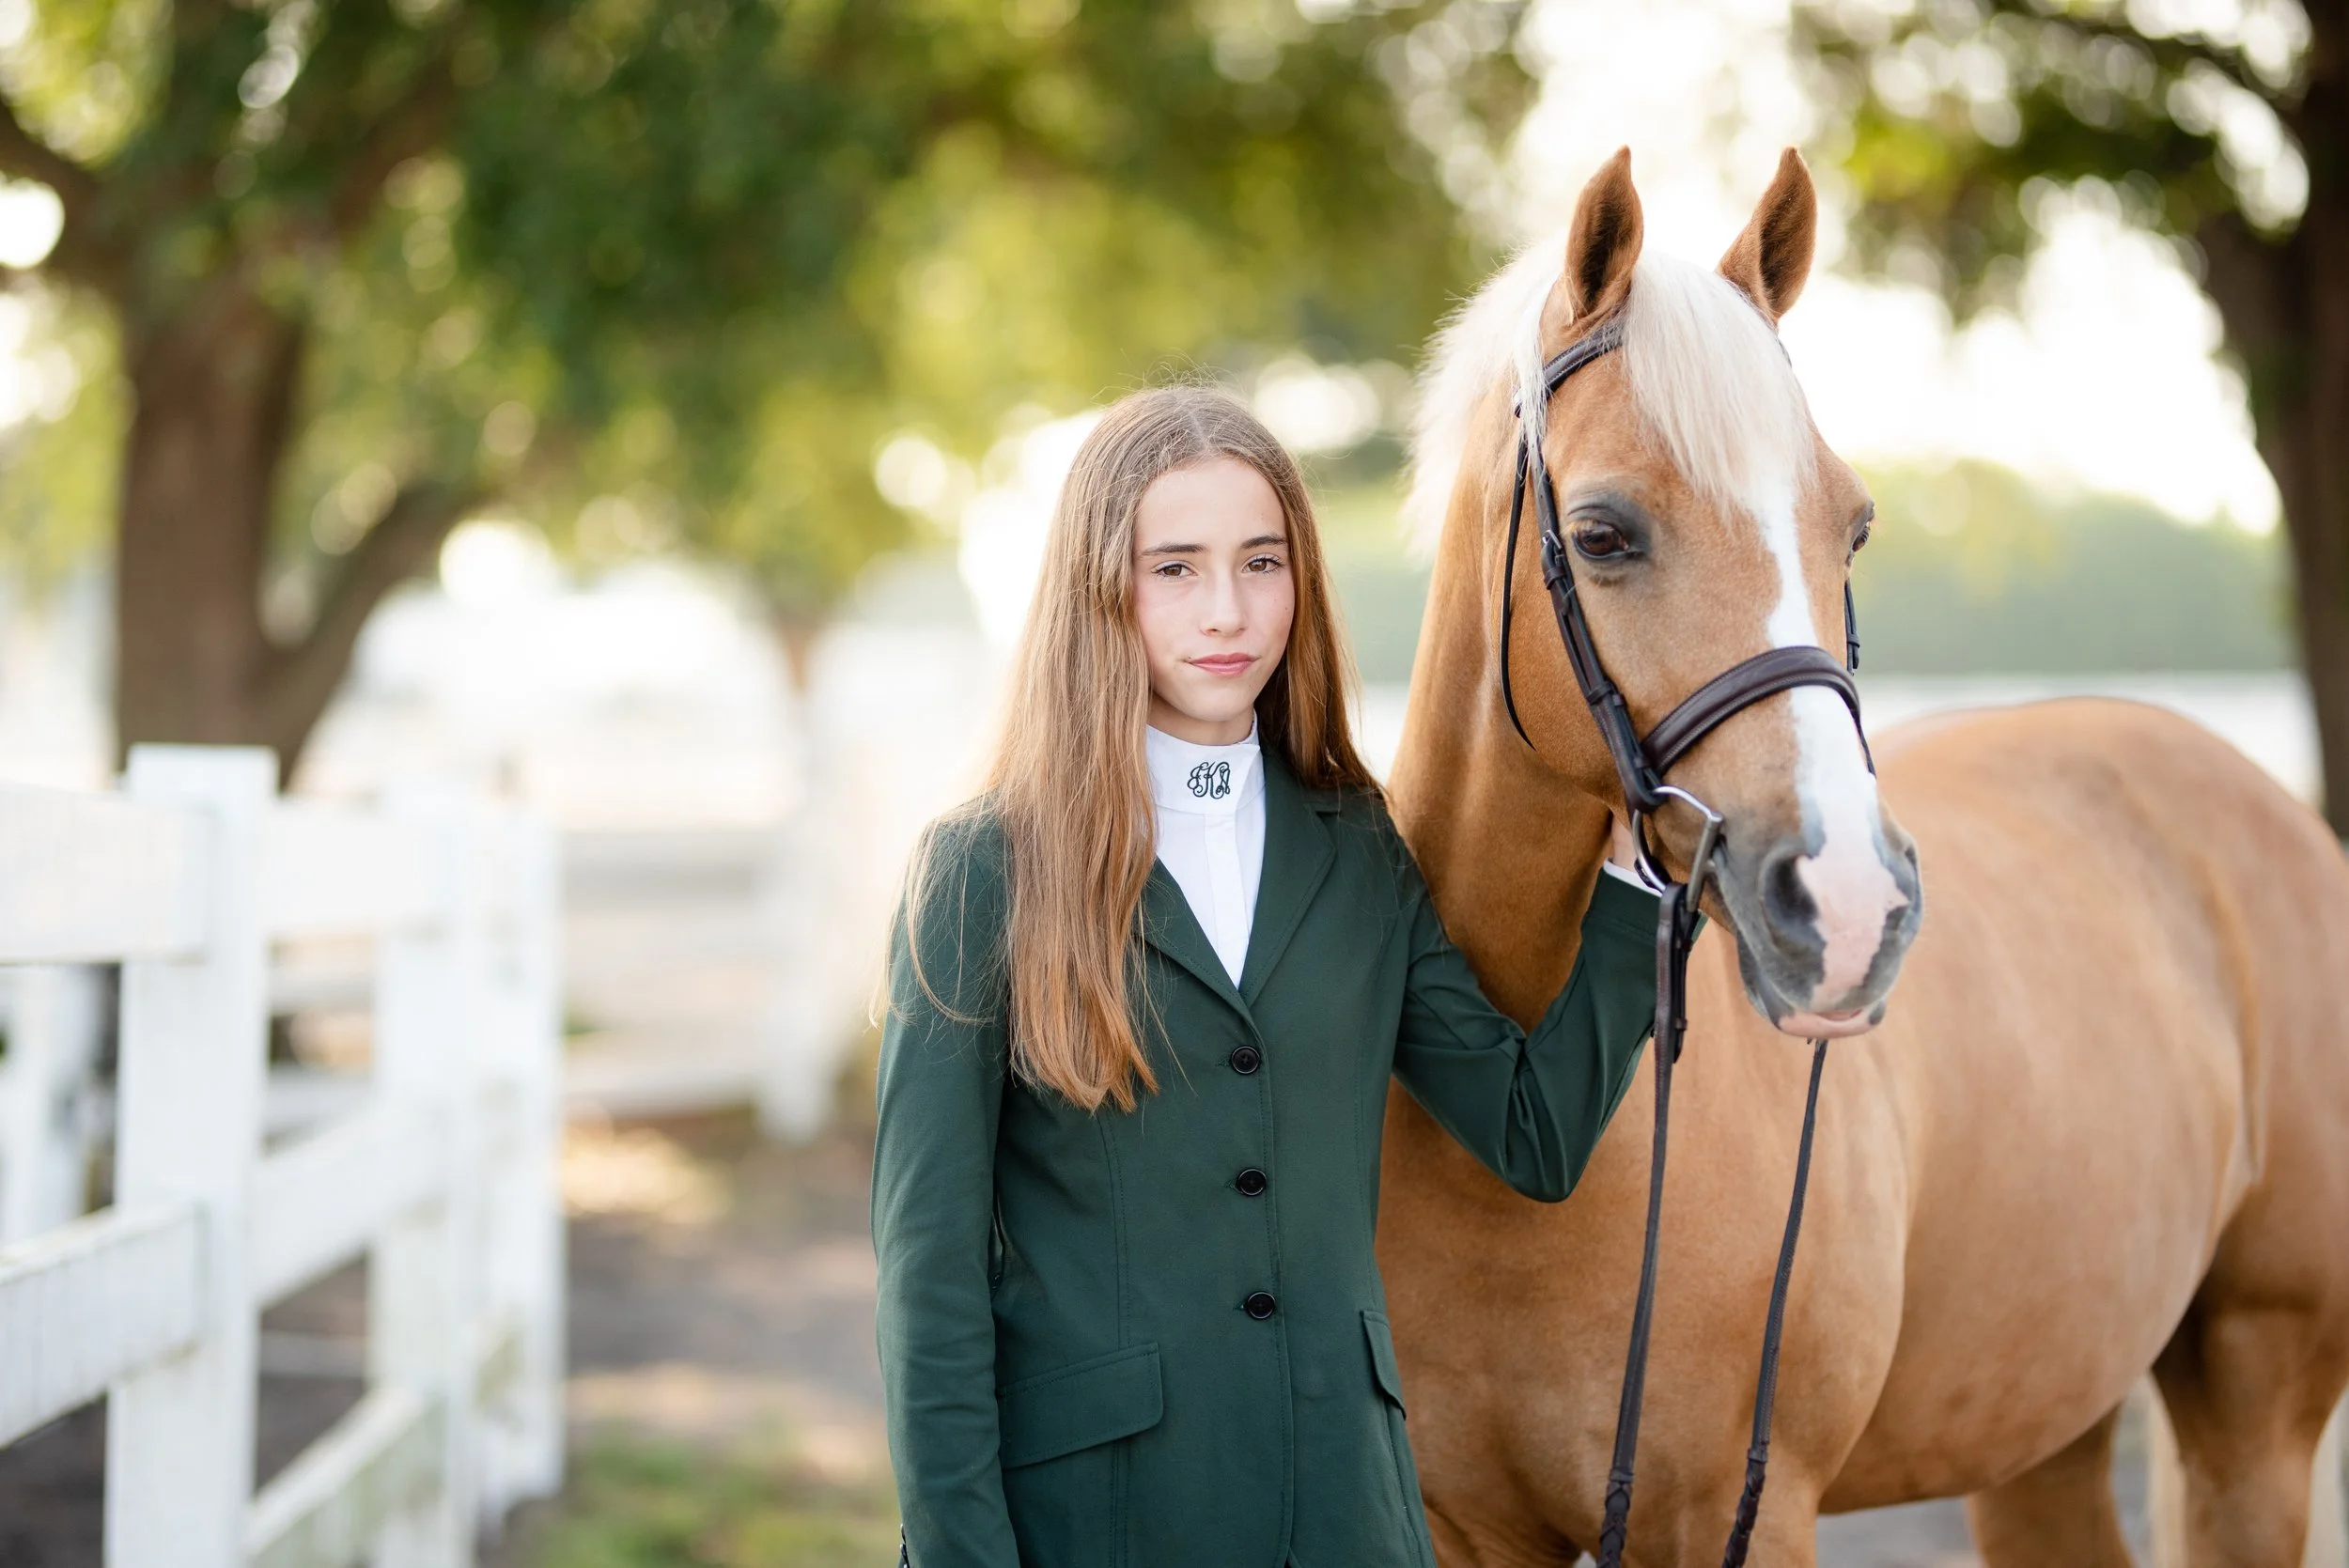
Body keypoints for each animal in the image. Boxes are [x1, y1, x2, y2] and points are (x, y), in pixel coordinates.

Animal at [1375, 145, 2349, 1567]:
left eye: (1854, 526)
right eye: (1603, 533)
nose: (1846, 906)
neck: (1520, 1143)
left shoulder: (1748, 1510)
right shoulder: (1459, 1528)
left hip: (2255, 1405)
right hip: (2043, 1425)